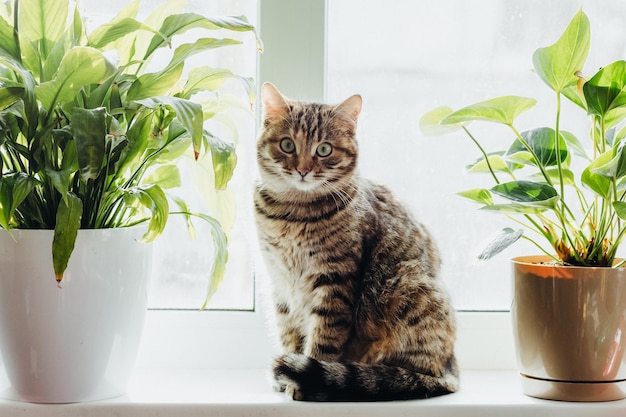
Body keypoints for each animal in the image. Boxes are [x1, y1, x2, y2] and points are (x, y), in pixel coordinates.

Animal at [254, 83, 458, 402]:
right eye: (287, 145)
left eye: (324, 149)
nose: (303, 170)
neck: (293, 214)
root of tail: (452, 369)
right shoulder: (280, 284)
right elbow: (288, 333)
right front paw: (286, 377)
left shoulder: (334, 281)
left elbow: (323, 338)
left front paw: (303, 380)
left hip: (409, 285)